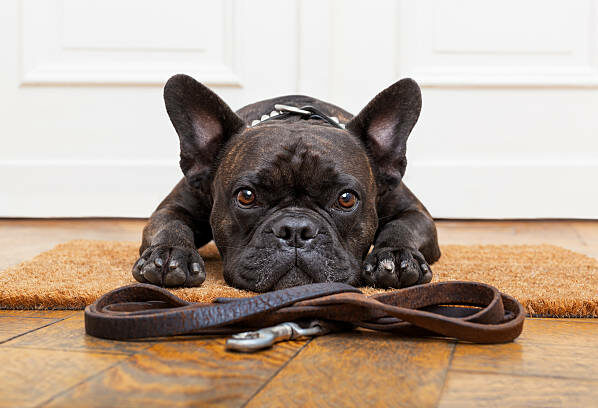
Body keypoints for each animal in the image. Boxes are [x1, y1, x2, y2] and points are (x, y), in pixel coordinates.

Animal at [134, 73, 442, 290]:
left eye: (346, 199)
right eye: (246, 196)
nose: (295, 229)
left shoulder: (416, 213)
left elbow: (402, 226)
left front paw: (397, 256)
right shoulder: (173, 207)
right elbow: (171, 224)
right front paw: (171, 253)